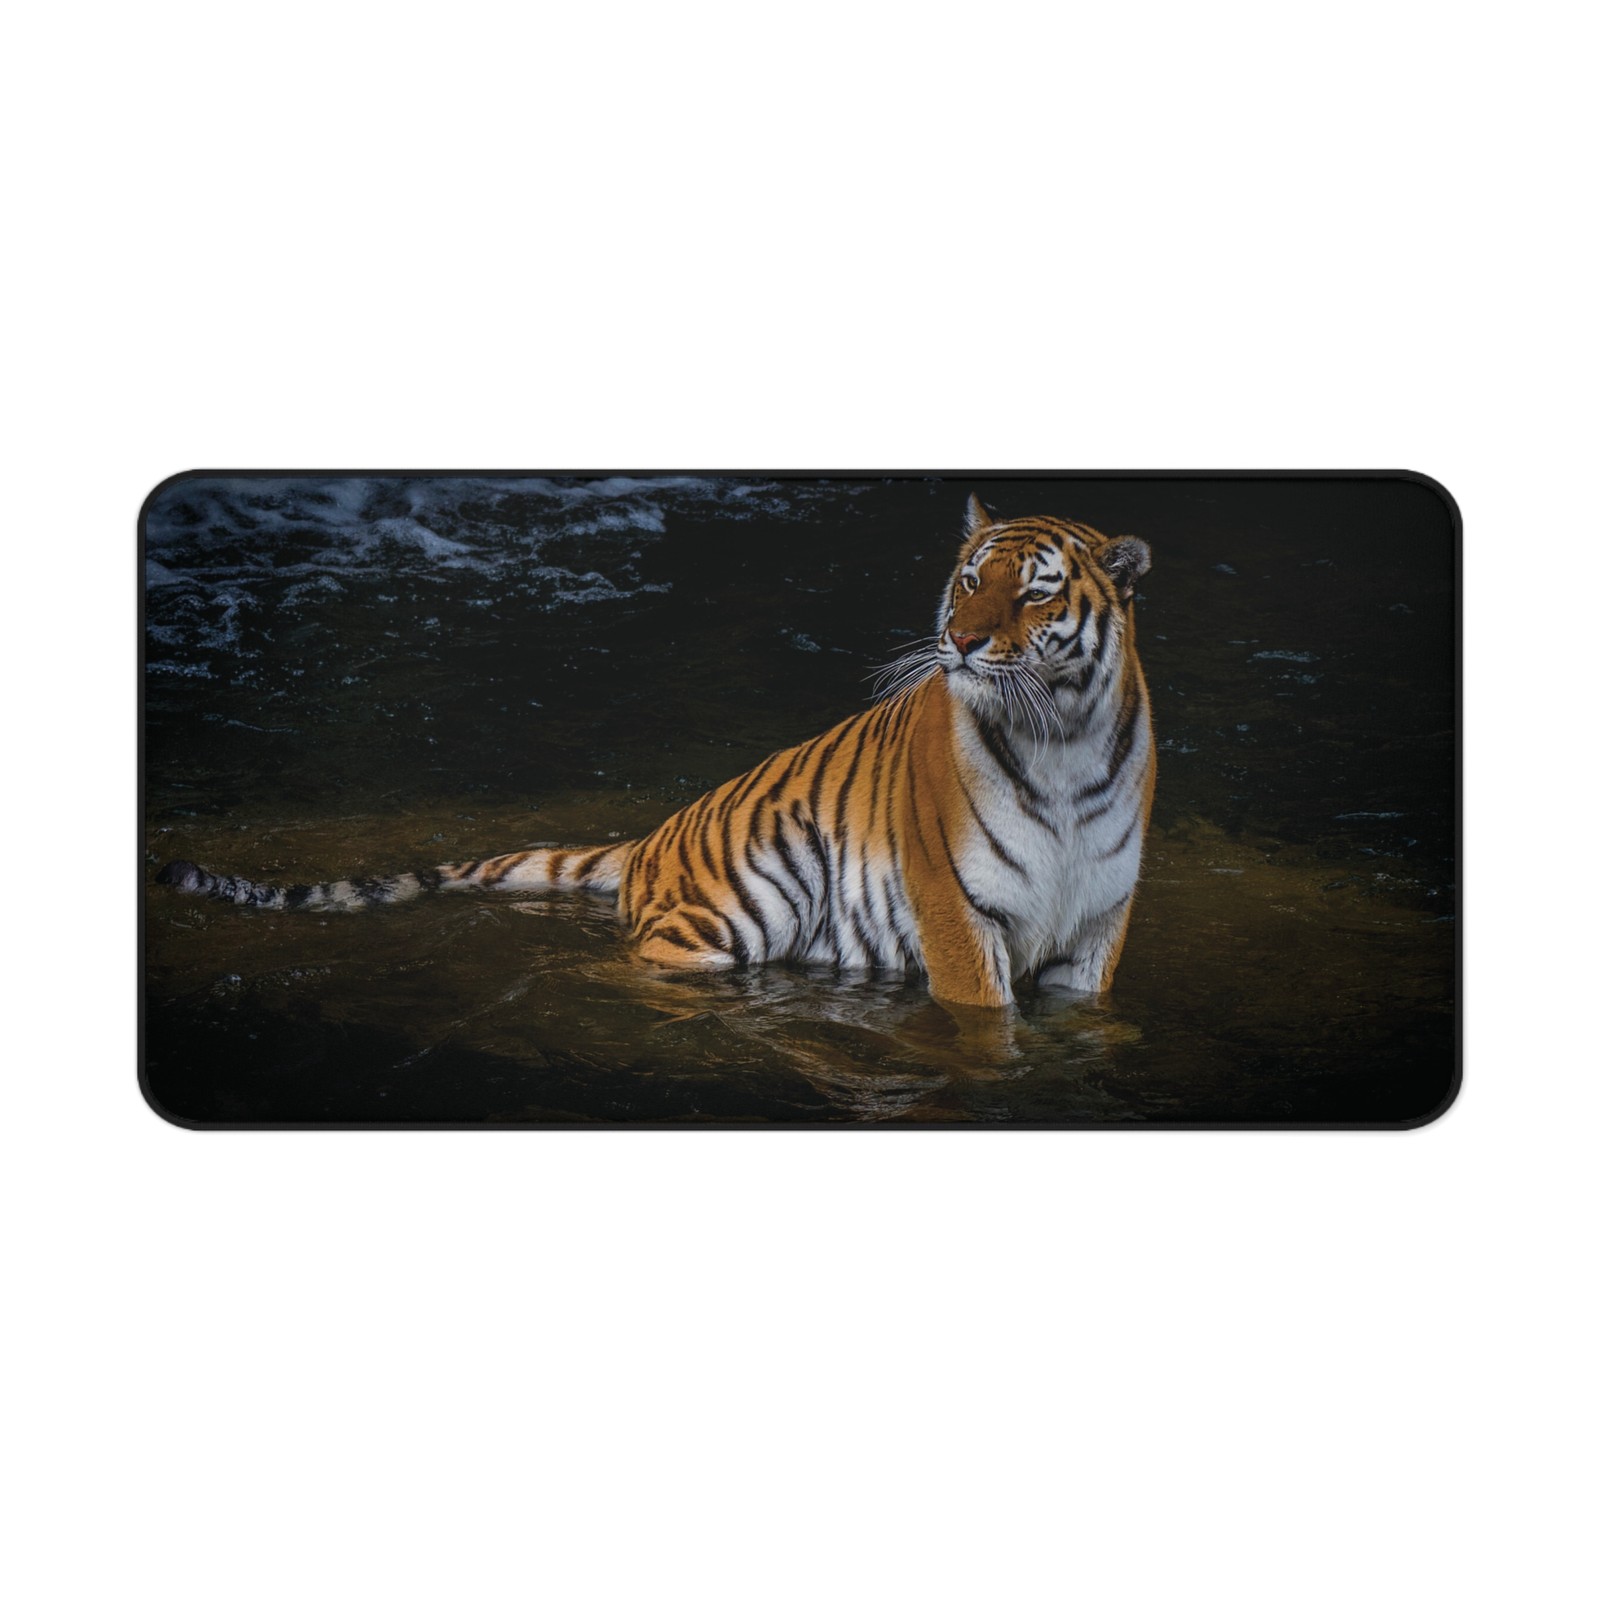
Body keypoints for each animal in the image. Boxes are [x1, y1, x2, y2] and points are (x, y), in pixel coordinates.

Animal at [156, 495, 1155, 1009]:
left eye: (1033, 593)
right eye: (968, 578)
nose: (960, 640)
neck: (1061, 740)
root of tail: (650, 837)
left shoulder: (1099, 926)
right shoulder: (955, 912)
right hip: (744, 912)